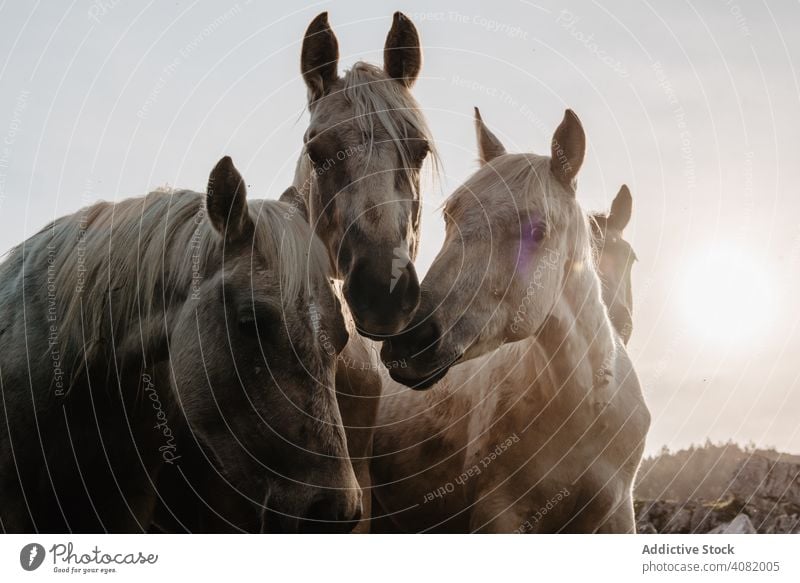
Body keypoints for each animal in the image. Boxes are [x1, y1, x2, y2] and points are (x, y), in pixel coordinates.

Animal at [370, 108, 648, 532]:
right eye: (450, 216)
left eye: (538, 231)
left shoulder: (617, 513)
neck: (584, 405)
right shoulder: (499, 512)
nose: (409, 340)